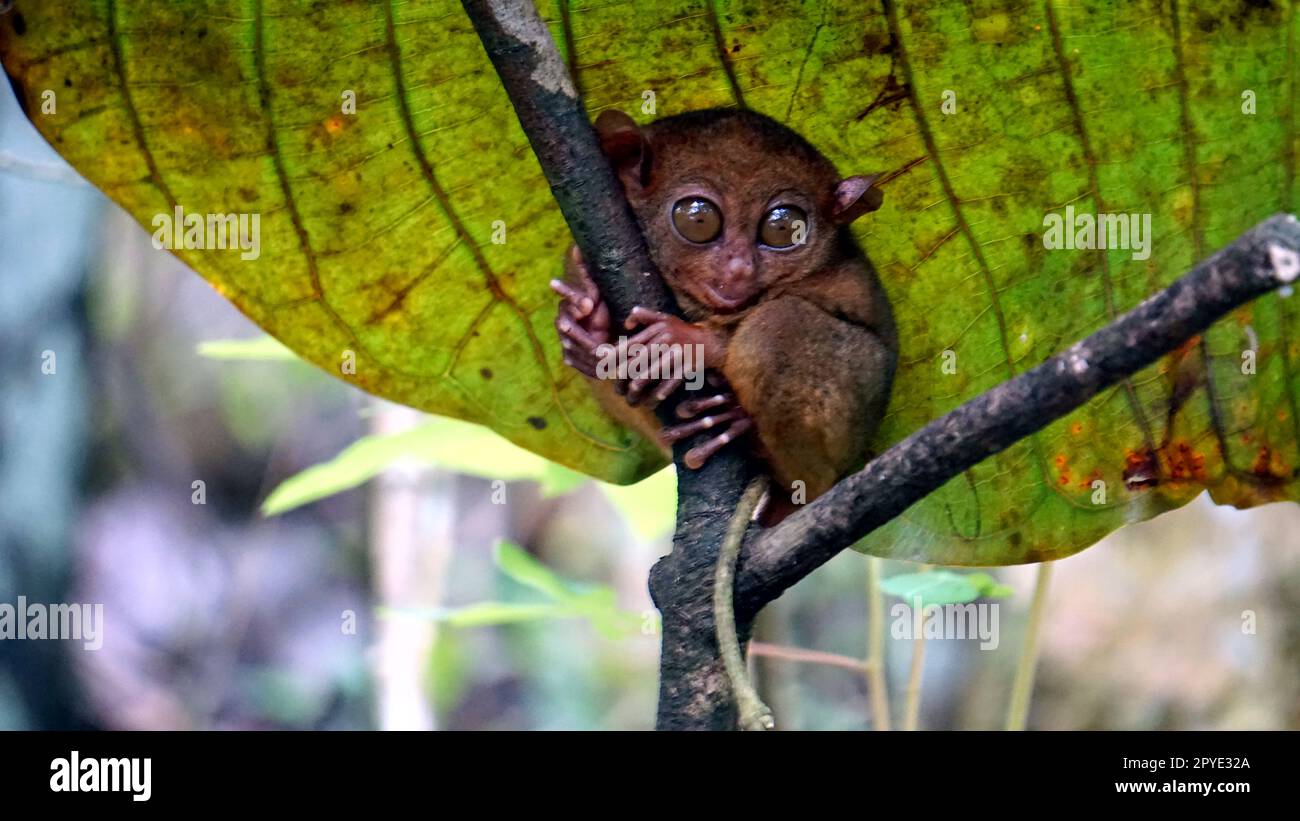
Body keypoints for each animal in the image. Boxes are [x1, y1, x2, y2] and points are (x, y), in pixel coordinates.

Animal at [551, 107, 898, 729]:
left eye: (784, 229)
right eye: (698, 219)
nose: (738, 269)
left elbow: (775, 320)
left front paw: (692, 343)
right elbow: (578, 274)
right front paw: (587, 323)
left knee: (776, 327)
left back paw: (763, 456)